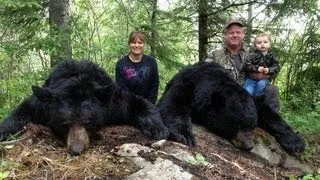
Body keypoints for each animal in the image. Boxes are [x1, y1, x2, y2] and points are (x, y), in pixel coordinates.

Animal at [0, 59, 169, 155]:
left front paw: (158, 128)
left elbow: (136, 102)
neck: (76, 83)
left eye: (88, 122)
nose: (77, 150)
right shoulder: (42, 106)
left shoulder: (111, 103)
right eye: (64, 124)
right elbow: (22, 110)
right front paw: (4, 132)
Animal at [158, 61, 304, 153]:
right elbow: (174, 102)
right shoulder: (187, 83)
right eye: (238, 125)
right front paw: (185, 135)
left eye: (252, 126)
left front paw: (295, 142)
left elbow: (267, 111)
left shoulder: (252, 100)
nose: (249, 146)